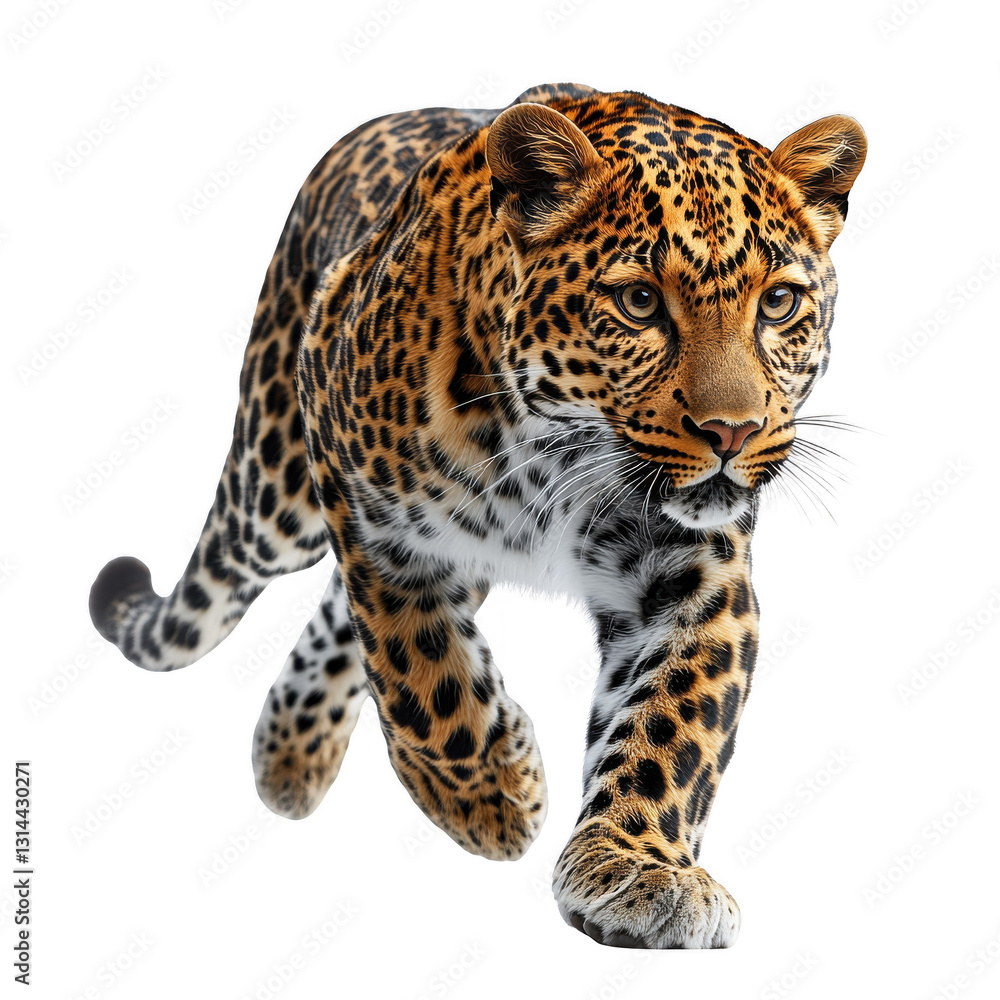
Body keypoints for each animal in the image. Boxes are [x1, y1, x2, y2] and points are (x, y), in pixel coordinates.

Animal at [89, 82, 866, 948]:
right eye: (638, 302)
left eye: (779, 302)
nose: (732, 432)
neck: (556, 456)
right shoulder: (369, 509)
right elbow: (415, 668)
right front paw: (490, 797)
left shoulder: (698, 569)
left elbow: (675, 719)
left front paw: (639, 869)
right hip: (275, 492)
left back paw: (290, 755)